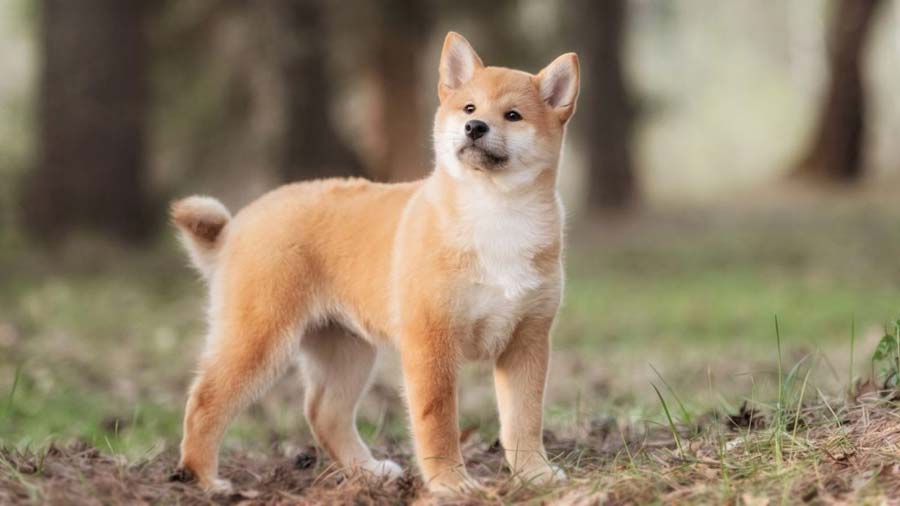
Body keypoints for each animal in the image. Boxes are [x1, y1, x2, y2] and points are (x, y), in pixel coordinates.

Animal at [171, 32, 580, 494]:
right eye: (469, 108)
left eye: (512, 115)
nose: (475, 128)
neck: (495, 212)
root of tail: (235, 227)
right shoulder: (431, 342)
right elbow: (438, 422)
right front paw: (451, 483)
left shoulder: (527, 341)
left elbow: (524, 420)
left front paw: (535, 475)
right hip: (258, 340)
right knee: (204, 402)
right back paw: (204, 479)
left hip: (346, 349)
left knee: (324, 414)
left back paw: (367, 472)